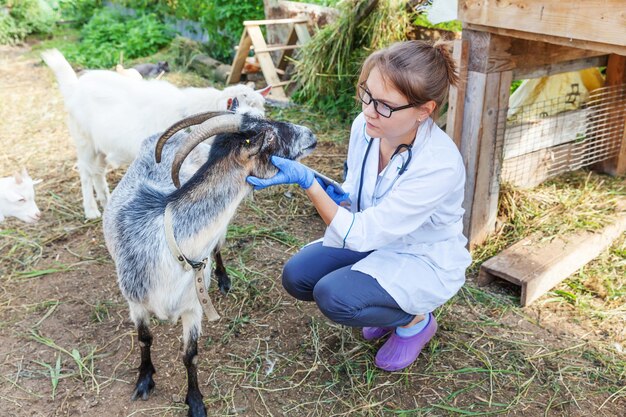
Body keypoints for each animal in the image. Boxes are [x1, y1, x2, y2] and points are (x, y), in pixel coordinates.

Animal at [40, 48, 270, 218]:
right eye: (243, 118)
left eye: (262, 108)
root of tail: (74, 87)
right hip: (83, 141)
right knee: (85, 172)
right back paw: (91, 211)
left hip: (101, 147)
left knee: (98, 171)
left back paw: (106, 202)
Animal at [103, 108, 316, 416]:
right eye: (271, 135)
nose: (311, 134)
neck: (172, 244)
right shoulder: (135, 301)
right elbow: (145, 339)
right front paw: (144, 380)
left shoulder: (194, 306)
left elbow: (189, 355)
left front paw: (195, 402)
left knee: (217, 247)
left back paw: (224, 278)